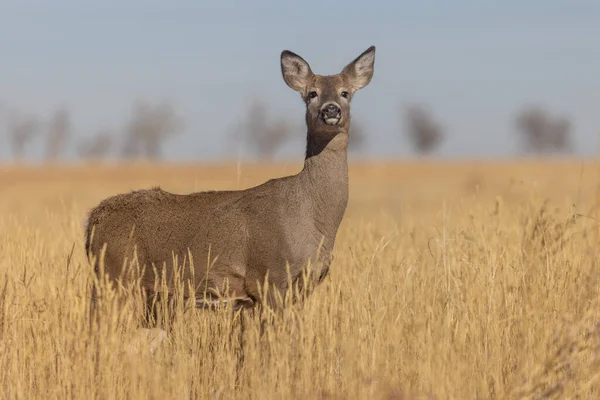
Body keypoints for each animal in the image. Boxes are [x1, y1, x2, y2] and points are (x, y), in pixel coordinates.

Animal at [84, 45, 376, 340]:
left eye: (345, 92)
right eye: (312, 93)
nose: (331, 110)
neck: (312, 215)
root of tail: (94, 219)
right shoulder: (269, 278)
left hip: (153, 293)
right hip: (113, 276)